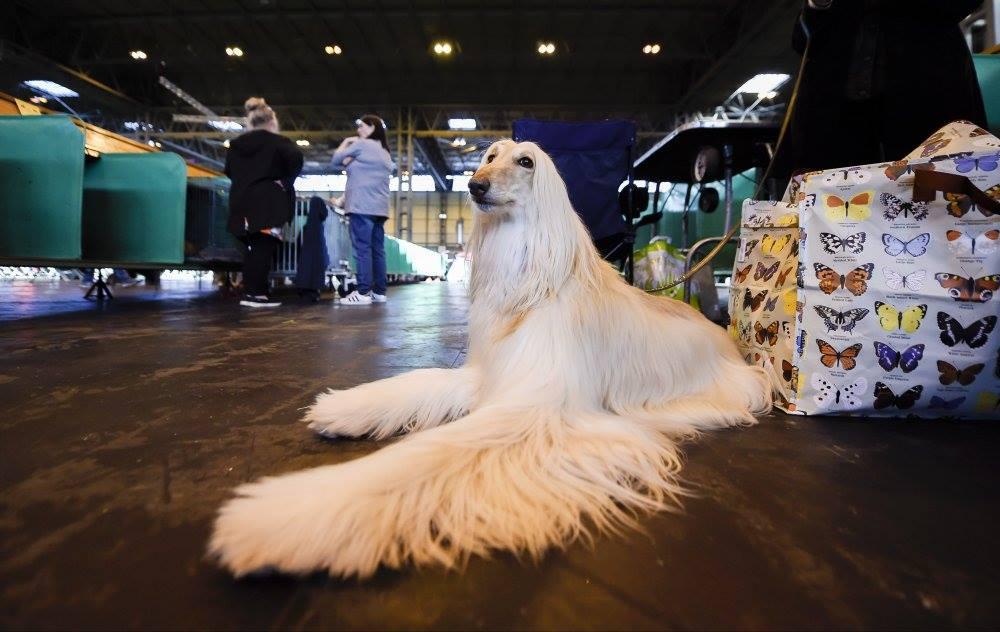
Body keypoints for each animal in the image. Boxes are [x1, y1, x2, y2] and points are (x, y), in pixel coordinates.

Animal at [209, 139, 772, 576]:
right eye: (488, 156)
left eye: (525, 162)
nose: (475, 186)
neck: (533, 287)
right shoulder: (490, 375)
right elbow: (417, 384)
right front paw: (345, 408)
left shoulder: (541, 413)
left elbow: (421, 458)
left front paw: (286, 514)